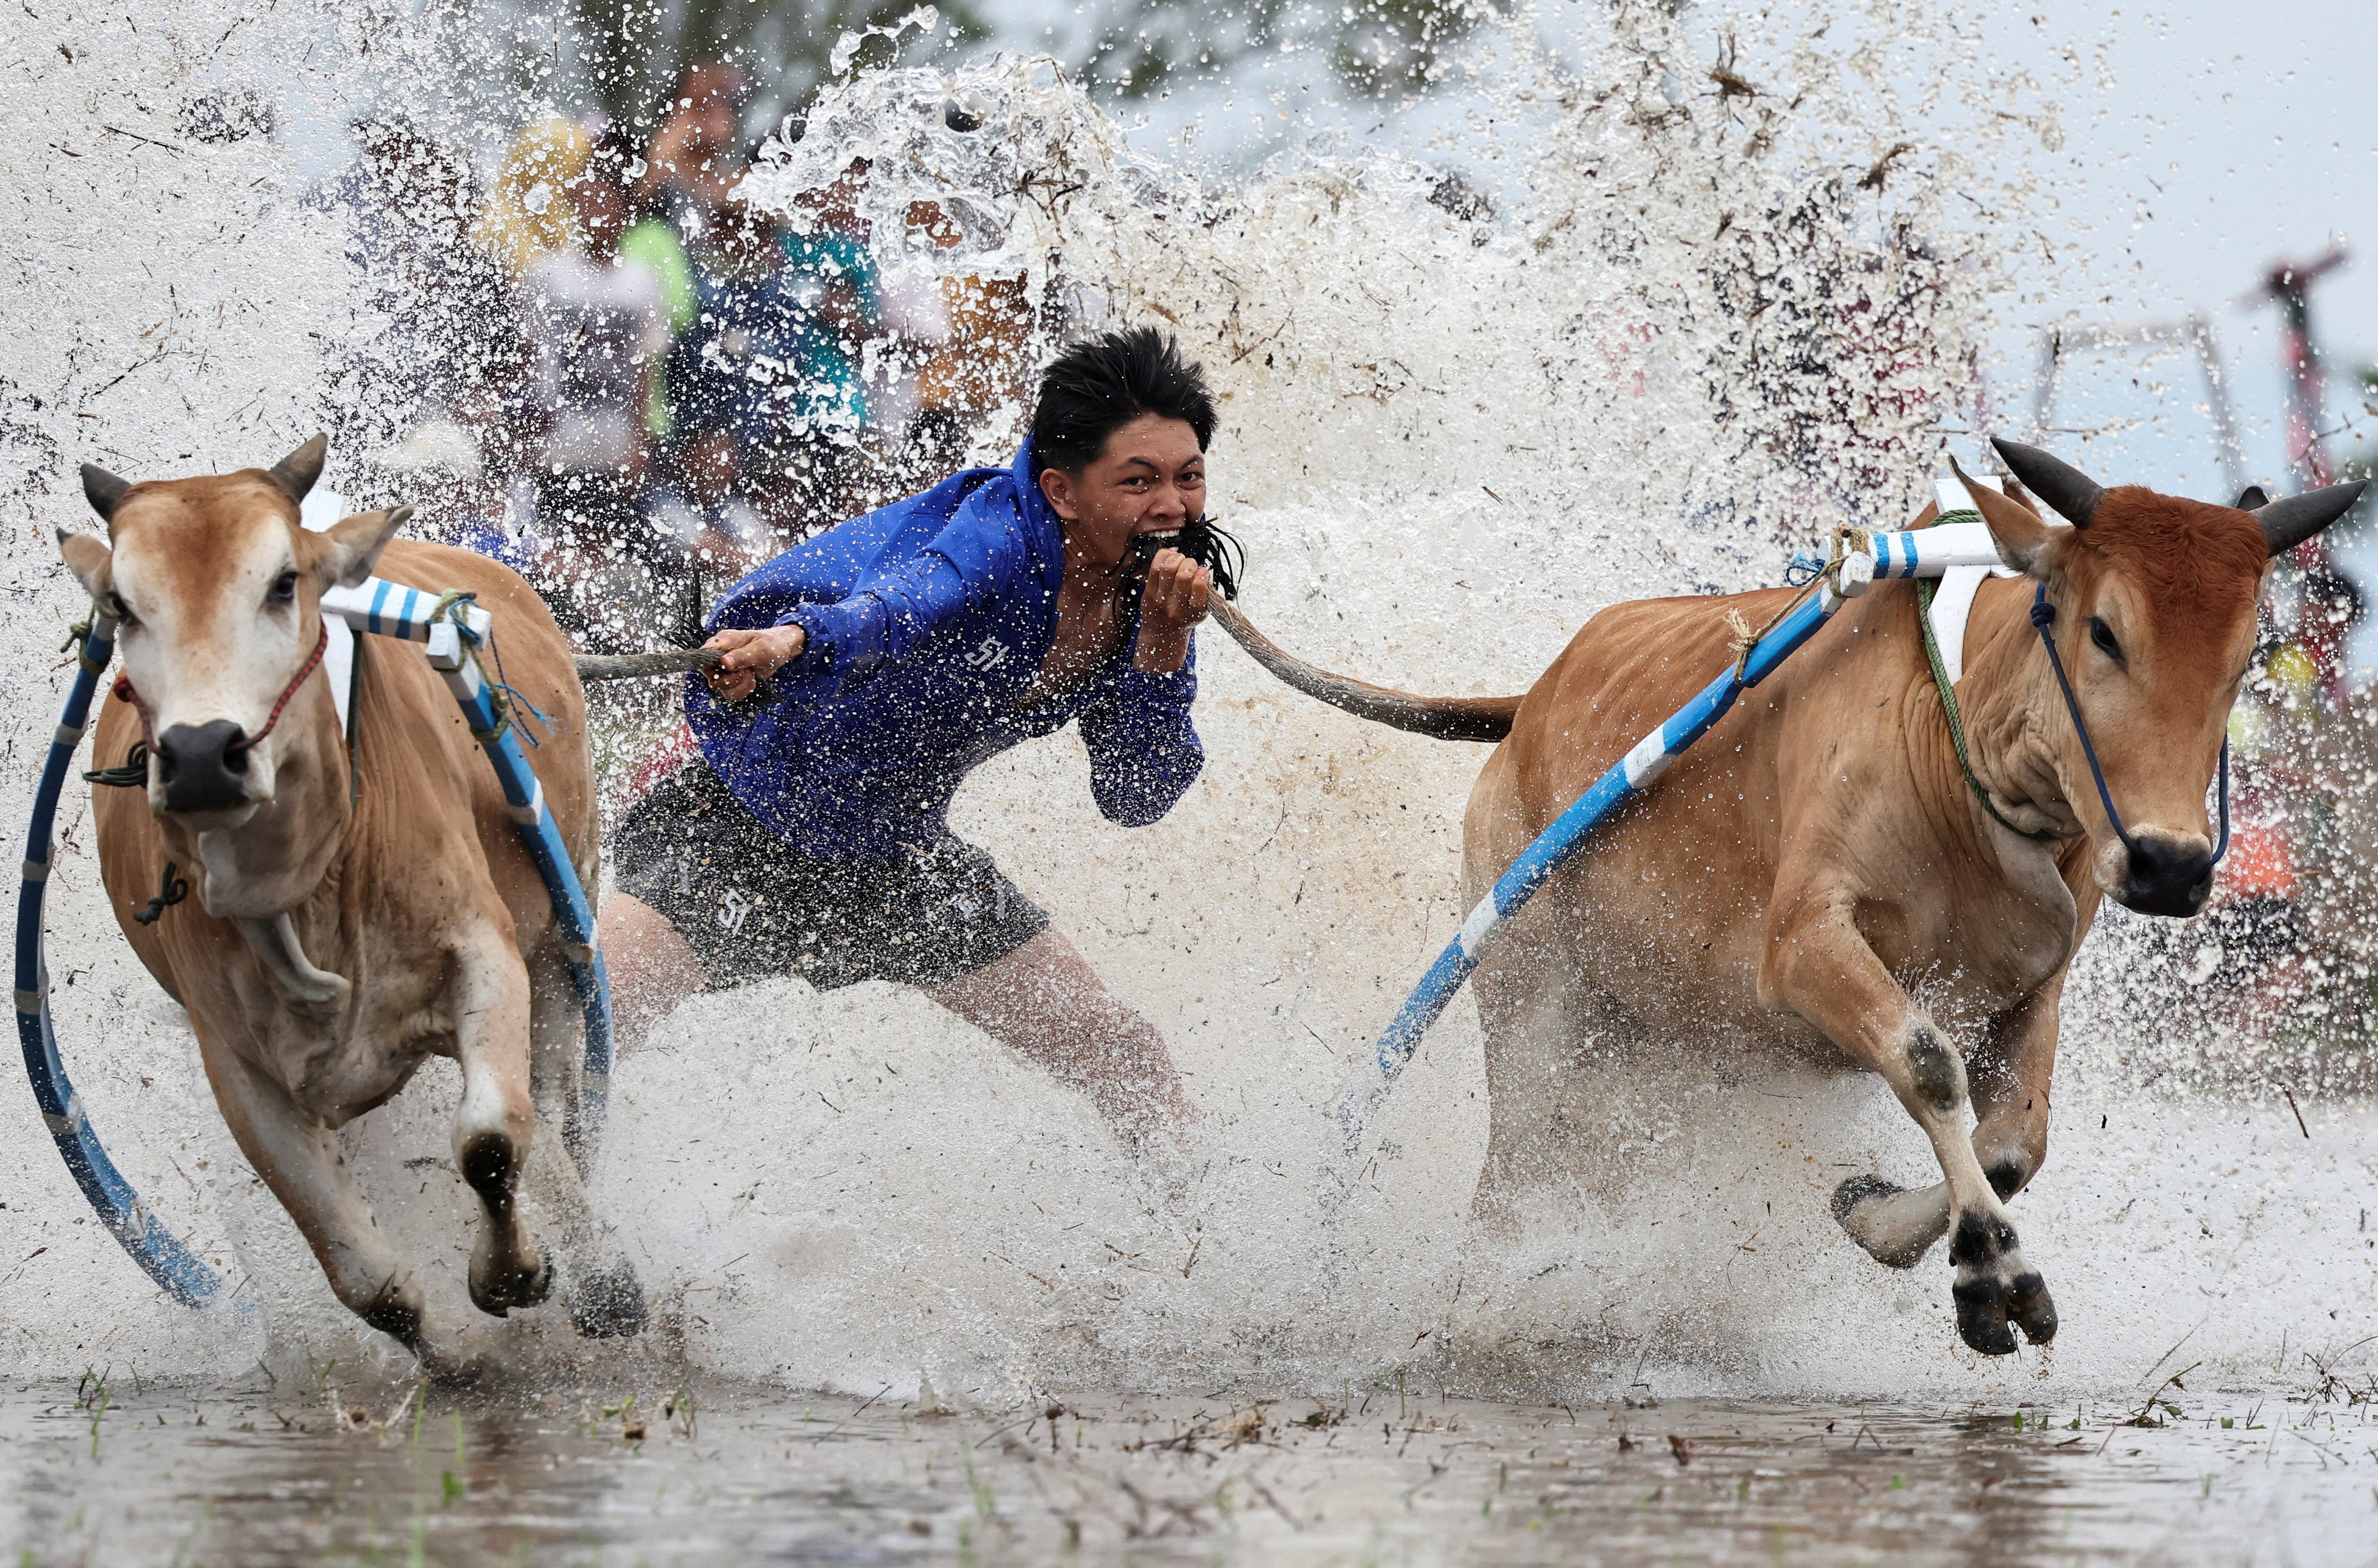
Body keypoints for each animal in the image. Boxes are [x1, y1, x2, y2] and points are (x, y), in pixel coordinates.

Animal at [56, 436, 644, 1374]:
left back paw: (601, 1277)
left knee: (552, 1112)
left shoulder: (486, 953)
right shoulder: (240, 1068)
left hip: (563, 933)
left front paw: (513, 1274)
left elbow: (491, 1139)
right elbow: (363, 1275)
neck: (302, 879)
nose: (200, 754)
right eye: (123, 603)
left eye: (283, 582)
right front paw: (453, 1353)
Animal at [1216, 441, 2364, 1354]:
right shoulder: (1804, 947)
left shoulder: (2034, 983)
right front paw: (1994, 1267)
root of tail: (1529, 703)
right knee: (1513, 1179)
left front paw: (1885, 1221)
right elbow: (1928, 1065)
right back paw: (1497, 1305)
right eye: (2104, 631)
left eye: (2241, 657)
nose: (2171, 863)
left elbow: (2014, 1142)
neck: (1960, 751)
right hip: (1534, 1009)